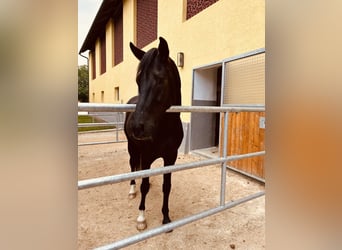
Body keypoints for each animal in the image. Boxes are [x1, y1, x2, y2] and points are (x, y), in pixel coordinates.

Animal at [125, 37, 184, 230]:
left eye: (160, 79)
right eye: (138, 80)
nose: (137, 127)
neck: (165, 128)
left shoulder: (170, 157)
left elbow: (167, 186)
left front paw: (166, 218)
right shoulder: (146, 155)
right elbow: (143, 185)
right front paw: (141, 218)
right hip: (132, 147)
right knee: (133, 166)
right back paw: (132, 190)